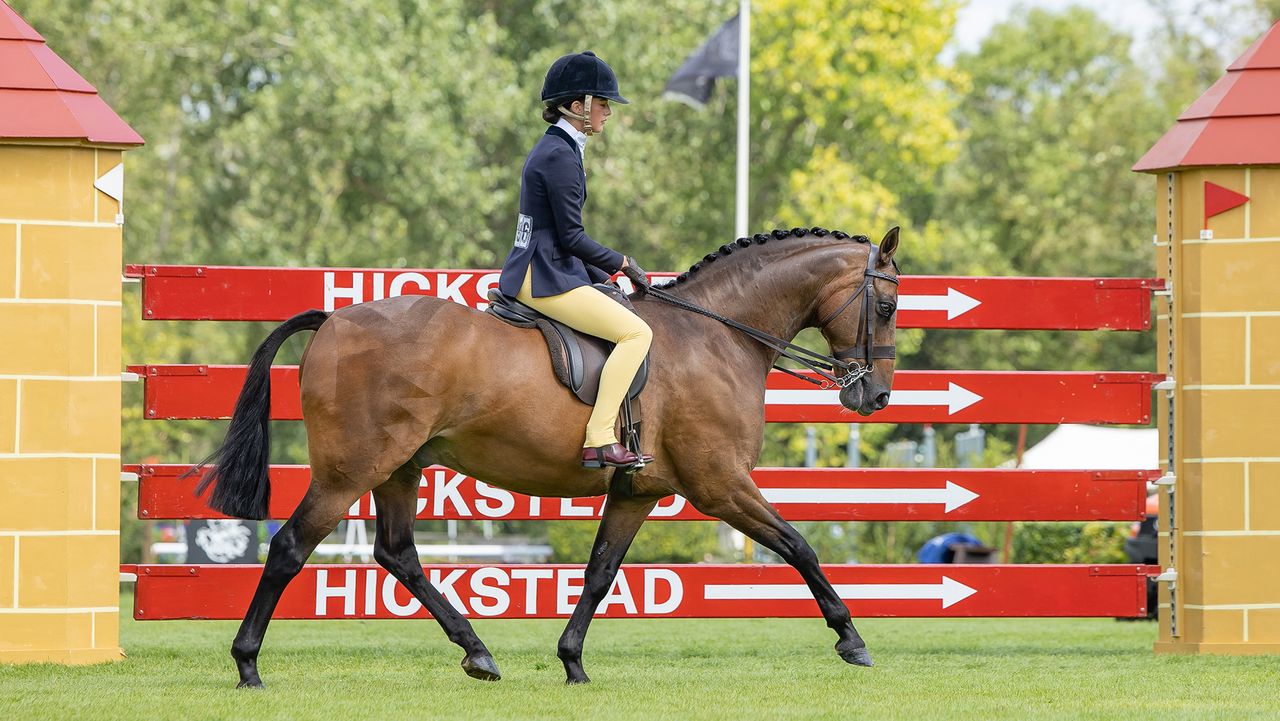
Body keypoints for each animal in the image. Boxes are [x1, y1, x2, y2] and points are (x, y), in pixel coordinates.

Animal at [193, 225, 901, 687]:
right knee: (290, 548)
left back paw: (478, 653)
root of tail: (335, 320)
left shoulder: (639, 492)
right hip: (350, 471)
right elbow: (799, 545)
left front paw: (572, 660)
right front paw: (853, 640)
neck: (716, 334)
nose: (874, 395)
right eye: (890, 304)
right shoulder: (720, 483)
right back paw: (248, 664)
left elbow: (600, 573)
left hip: (400, 468)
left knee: (397, 554)